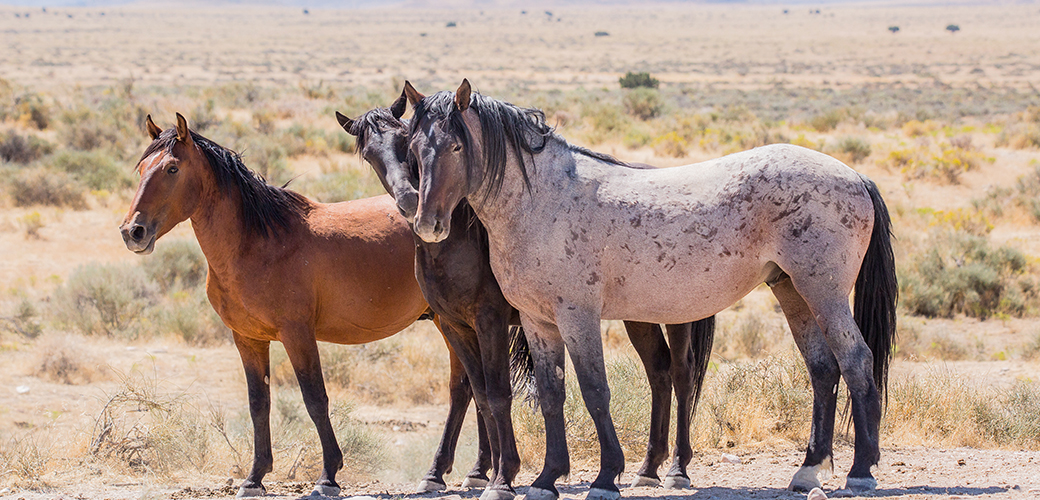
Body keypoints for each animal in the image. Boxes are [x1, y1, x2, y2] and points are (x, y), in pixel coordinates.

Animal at [121, 114, 507, 496]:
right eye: (141, 169)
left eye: (172, 168)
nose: (132, 232)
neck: (256, 244)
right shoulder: (247, 339)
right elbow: (258, 404)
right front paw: (255, 476)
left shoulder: (298, 335)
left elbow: (315, 399)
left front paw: (328, 475)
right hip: (453, 322)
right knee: (471, 388)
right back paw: (472, 470)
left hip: (450, 321)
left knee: (463, 389)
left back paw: (446, 472)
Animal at [336, 94, 719, 498]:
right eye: (371, 155)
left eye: (402, 141)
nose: (412, 203)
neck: (459, 243)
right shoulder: (455, 325)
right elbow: (478, 393)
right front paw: (479, 471)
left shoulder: (489, 321)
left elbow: (495, 393)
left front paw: (500, 473)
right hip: (639, 316)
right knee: (658, 371)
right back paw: (648, 467)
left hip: (675, 314)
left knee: (681, 372)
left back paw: (678, 468)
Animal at [403, 80, 894, 496]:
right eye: (413, 148)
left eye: (455, 146)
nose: (428, 224)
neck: (541, 200)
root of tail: (855, 176)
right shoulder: (537, 321)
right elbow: (551, 395)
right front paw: (546, 479)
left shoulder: (575, 317)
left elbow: (594, 391)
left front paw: (606, 476)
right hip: (792, 290)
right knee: (823, 369)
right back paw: (808, 470)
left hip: (824, 293)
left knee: (856, 360)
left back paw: (860, 472)